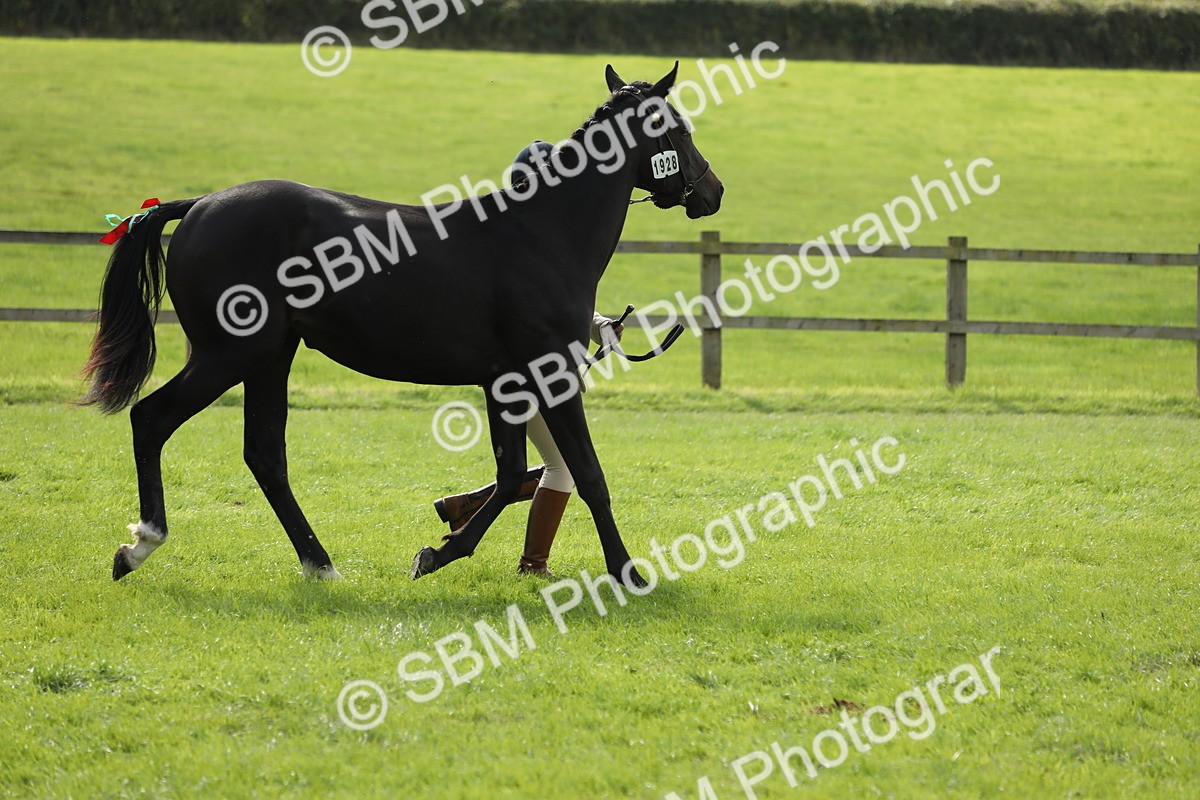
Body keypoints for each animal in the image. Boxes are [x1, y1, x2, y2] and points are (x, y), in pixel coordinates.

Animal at [82, 62, 723, 588]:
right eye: (680, 128)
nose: (713, 191)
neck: (542, 231)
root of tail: (199, 205)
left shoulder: (506, 381)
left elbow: (513, 472)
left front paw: (440, 550)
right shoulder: (549, 374)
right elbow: (586, 474)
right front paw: (627, 571)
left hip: (270, 357)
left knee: (265, 454)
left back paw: (320, 564)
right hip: (228, 355)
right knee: (152, 419)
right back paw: (141, 545)